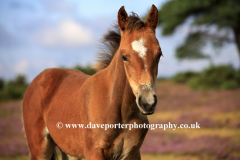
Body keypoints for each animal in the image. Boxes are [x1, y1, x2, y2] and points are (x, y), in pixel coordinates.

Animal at [22, 5, 162, 160]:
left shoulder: (132, 153)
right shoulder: (94, 152)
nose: (147, 102)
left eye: (159, 54)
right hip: (39, 148)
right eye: (124, 56)